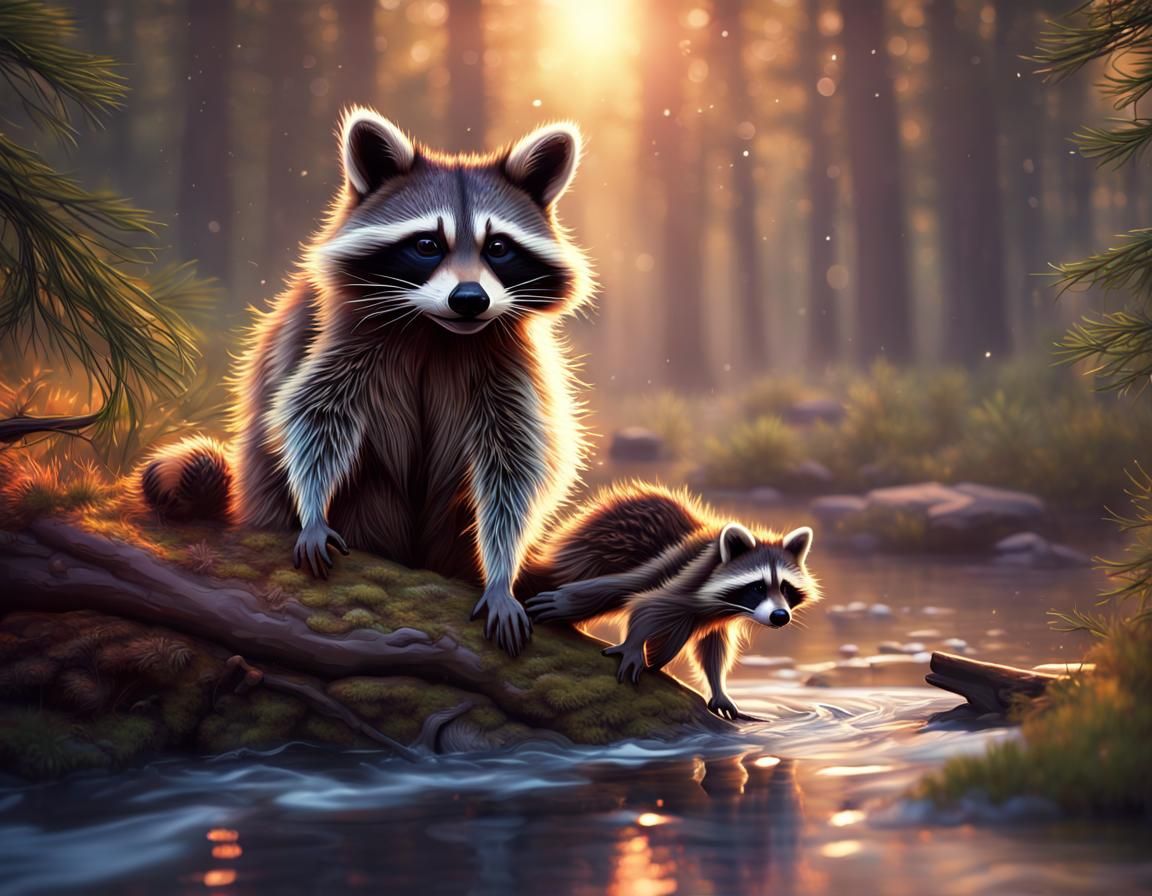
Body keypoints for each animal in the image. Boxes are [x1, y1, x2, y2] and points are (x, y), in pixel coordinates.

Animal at [142, 109, 594, 655]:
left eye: (499, 247)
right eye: (427, 244)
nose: (470, 299)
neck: (436, 331)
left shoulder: (508, 361)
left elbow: (514, 460)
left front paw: (501, 572)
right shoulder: (345, 336)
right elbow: (314, 415)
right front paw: (314, 510)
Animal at [523, 483, 820, 720]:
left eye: (785, 588)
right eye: (758, 587)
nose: (780, 616)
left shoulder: (717, 614)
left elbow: (712, 646)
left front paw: (718, 687)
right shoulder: (690, 575)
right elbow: (648, 606)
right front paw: (633, 645)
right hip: (599, 545)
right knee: (607, 583)